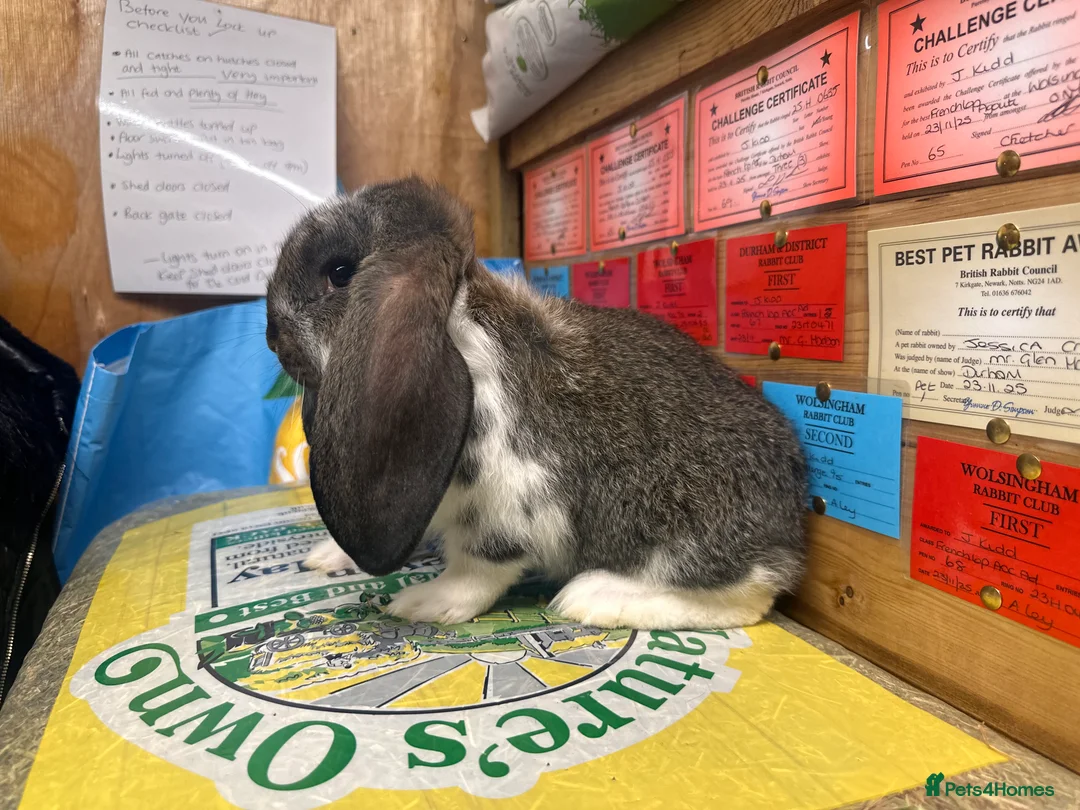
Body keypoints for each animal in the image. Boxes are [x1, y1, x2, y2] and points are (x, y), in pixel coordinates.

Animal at [265, 177, 808, 630]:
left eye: (339, 273)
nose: (273, 338)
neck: (463, 334)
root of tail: (792, 516)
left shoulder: (508, 503)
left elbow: (477, 570)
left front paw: (424, 603)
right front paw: (329, 555)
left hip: (682, 532)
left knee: (749, 594)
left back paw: (596, 597)